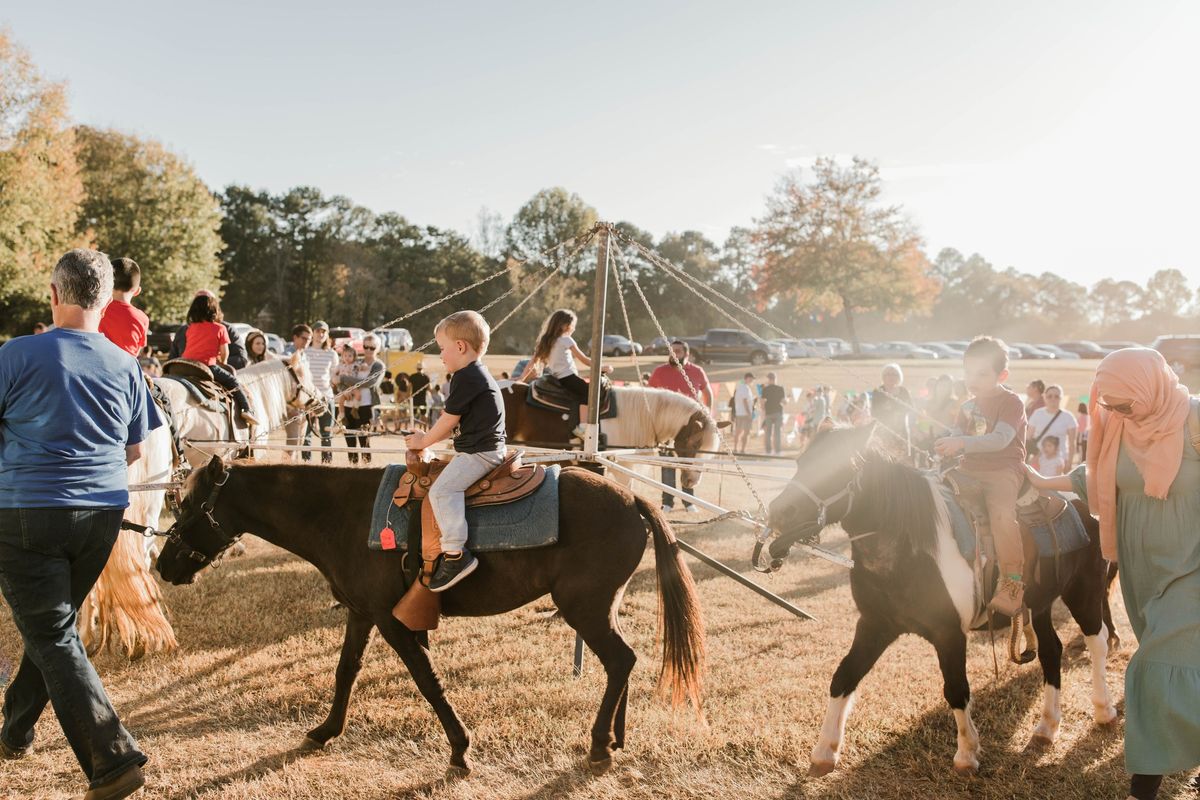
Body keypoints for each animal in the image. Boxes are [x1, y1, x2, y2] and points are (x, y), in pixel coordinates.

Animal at [156, 460, 705, 777]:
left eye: (189, 505)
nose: (163, 565)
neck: (344, 513)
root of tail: (633, 498)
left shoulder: (392, 620)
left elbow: (426, 679)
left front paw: (460, 749)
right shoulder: (363, 613)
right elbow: (345, 671)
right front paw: (326, 730)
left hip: (584, 609)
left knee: (620, 660)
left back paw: (598, 745)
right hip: (599, 608)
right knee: (622, 662)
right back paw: (613, 737)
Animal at [763, 424, 1118, 777]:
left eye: (840, 469)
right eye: (801, 461)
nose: (780, 511)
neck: (907, 547)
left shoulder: (949, 634)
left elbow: (956, 688)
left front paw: (967, 753)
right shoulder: (875, 624)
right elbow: (844, 676)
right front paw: (824, 750)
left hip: (1084, 591)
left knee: (1097, 641)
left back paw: (1104, 710)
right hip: (1040, 604)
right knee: (1051, 651)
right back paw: (1046, 727)